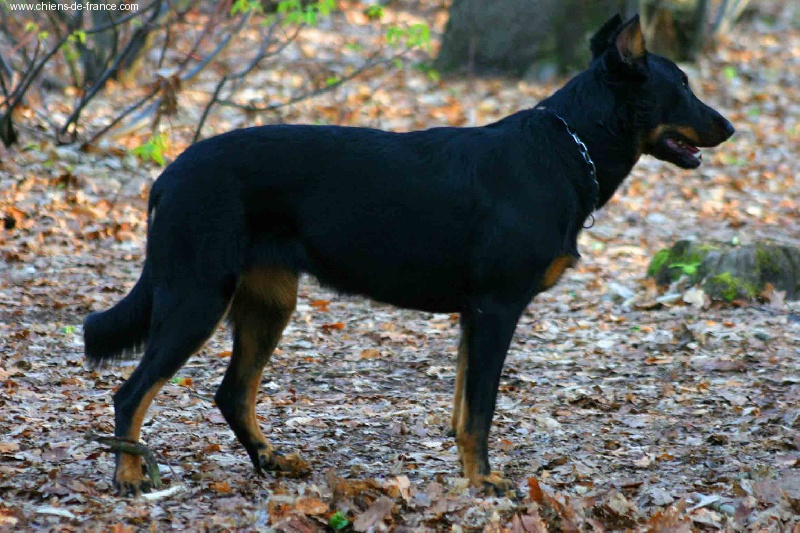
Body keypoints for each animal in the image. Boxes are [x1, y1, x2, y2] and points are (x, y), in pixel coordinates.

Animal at [84, 13, 736, 494]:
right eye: (681, 86)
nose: (729, 128)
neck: (567, 146)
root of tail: (167, 177)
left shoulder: (474, 315)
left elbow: (463, 411)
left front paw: (469, 476)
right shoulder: (497, 308)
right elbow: (481, 410)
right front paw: (484, 485)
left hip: (267, 302)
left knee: (232, 393)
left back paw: (272, 463)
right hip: (197, 296)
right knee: (132, 392)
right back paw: (131, 474)